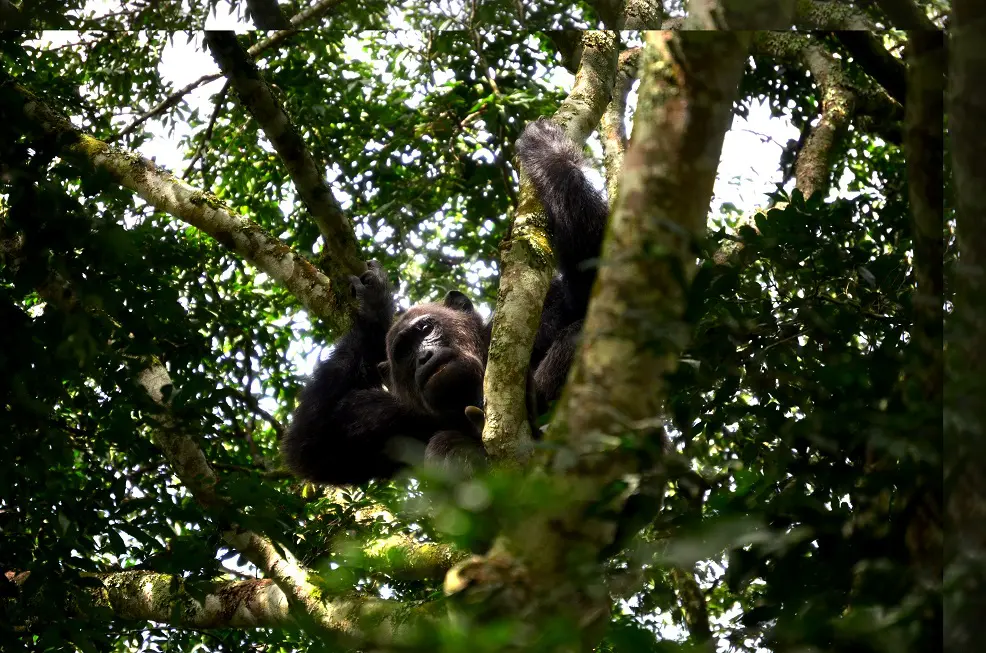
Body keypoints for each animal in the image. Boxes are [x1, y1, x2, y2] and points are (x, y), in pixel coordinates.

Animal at [281, 119, 610, 485]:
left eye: (425, 328)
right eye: (404, 352)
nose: (424, 355)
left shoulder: (550, 310)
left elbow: (597, 284)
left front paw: (547, 149)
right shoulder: (390, 419)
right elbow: (315, 446)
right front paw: (374, 307)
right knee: (444, 444)